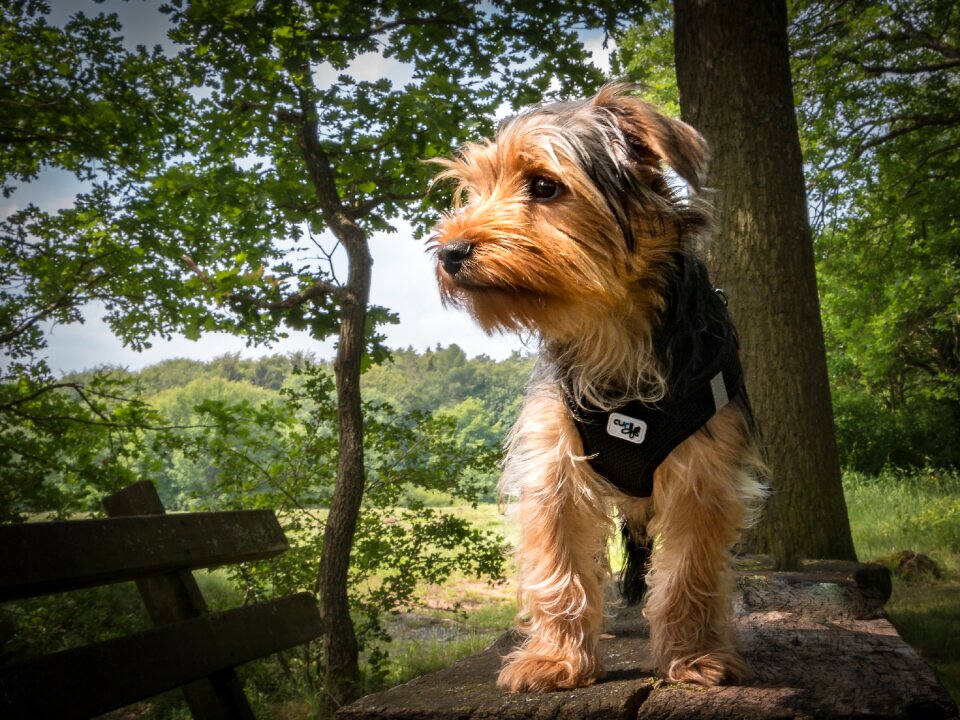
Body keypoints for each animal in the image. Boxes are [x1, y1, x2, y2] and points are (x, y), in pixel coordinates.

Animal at [428, 83, 764, 692]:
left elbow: (689, 573)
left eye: (544, 186)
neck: (609, 326)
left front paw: (694, 656)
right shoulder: (552, 469)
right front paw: (556, 658)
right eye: (476, 188)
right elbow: (559, 570)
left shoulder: (706, 474)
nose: (449, 252)